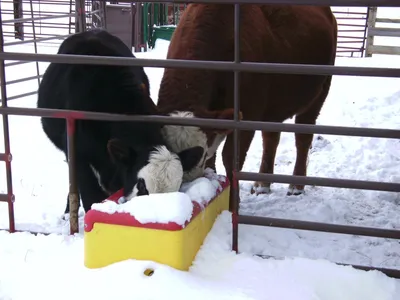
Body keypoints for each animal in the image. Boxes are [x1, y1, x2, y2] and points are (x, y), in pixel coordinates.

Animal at [156, 5, 338, 197]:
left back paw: (296, 186)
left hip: (319, 94)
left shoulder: (246, 115)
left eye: (201, 154)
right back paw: (262, 184)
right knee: (271, 138)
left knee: (303, 137)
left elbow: (230, 159)